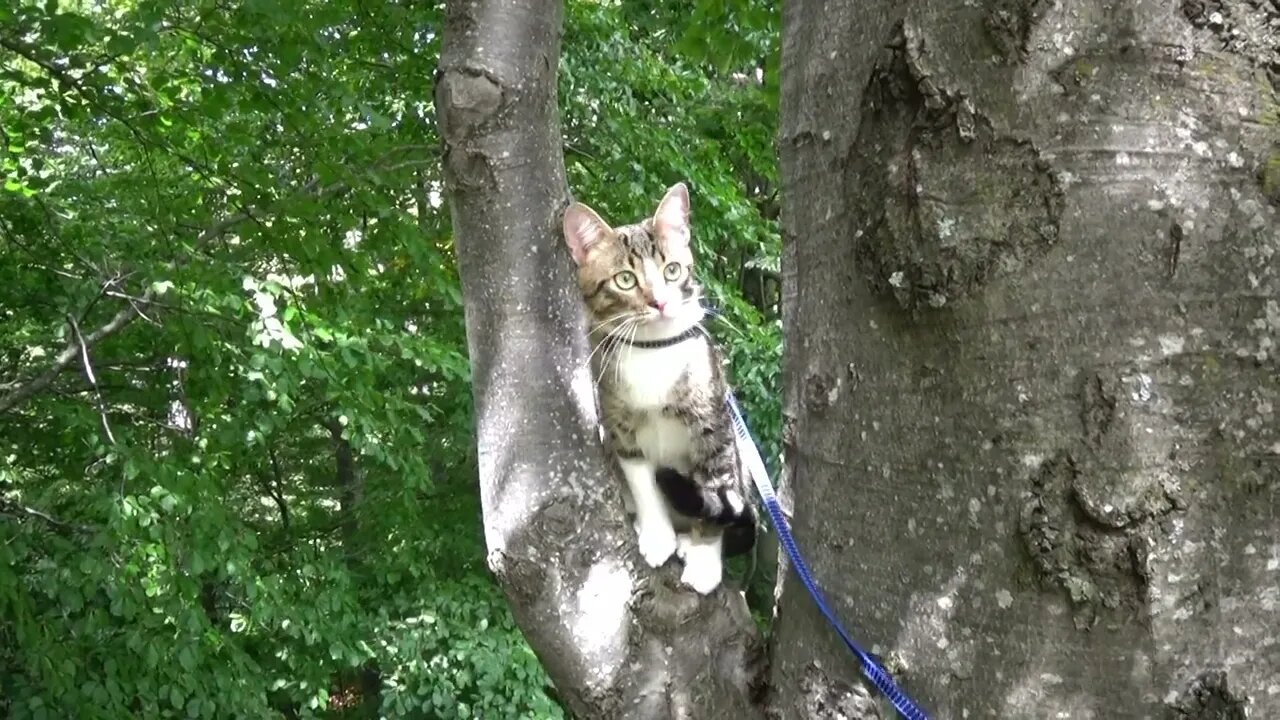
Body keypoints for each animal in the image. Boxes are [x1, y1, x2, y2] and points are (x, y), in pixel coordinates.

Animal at [563, 181, 757, 591]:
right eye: (625, 279)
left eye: (672, 270)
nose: (661, 302)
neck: (653, 350)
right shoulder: (618, 422)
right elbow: (644, 483)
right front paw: (655, 535)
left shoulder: (715, 429)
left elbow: (717, 493)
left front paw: (704, 560)